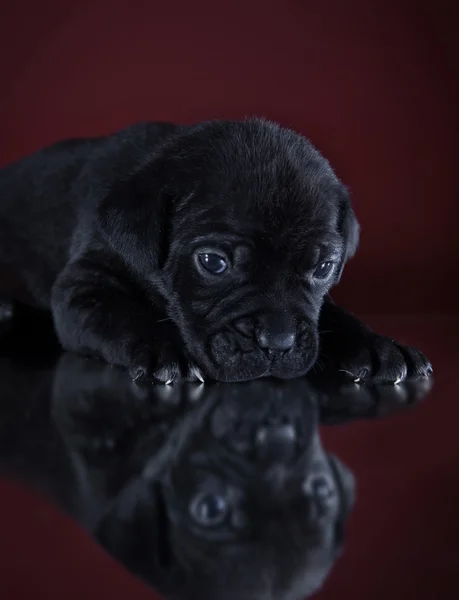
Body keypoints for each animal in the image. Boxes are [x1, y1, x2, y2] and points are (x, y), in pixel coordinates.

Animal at [0, 119, 432, 382]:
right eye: (213, 263)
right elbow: (123, 314)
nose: (278, 342)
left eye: (324, 266)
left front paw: (378, 346)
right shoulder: (85, 286)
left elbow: (334, 315)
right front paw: (165, 350)